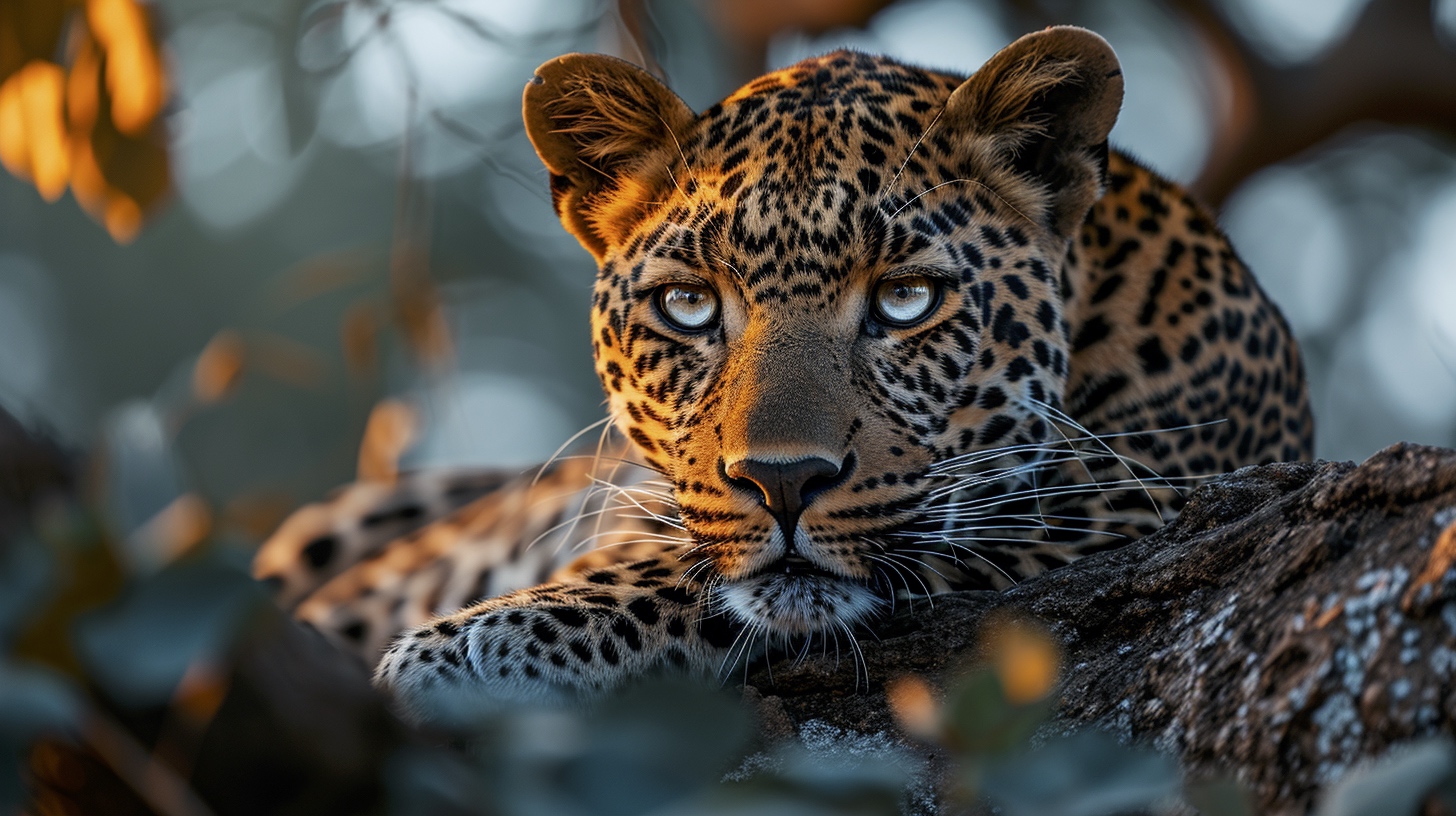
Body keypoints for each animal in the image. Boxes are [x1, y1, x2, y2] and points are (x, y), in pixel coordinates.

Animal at [253, 26, 1313, 725]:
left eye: (905, 300)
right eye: (689, 307)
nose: (784, 482)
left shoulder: (1129, 494)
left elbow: (696, 576)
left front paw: (486, 641)